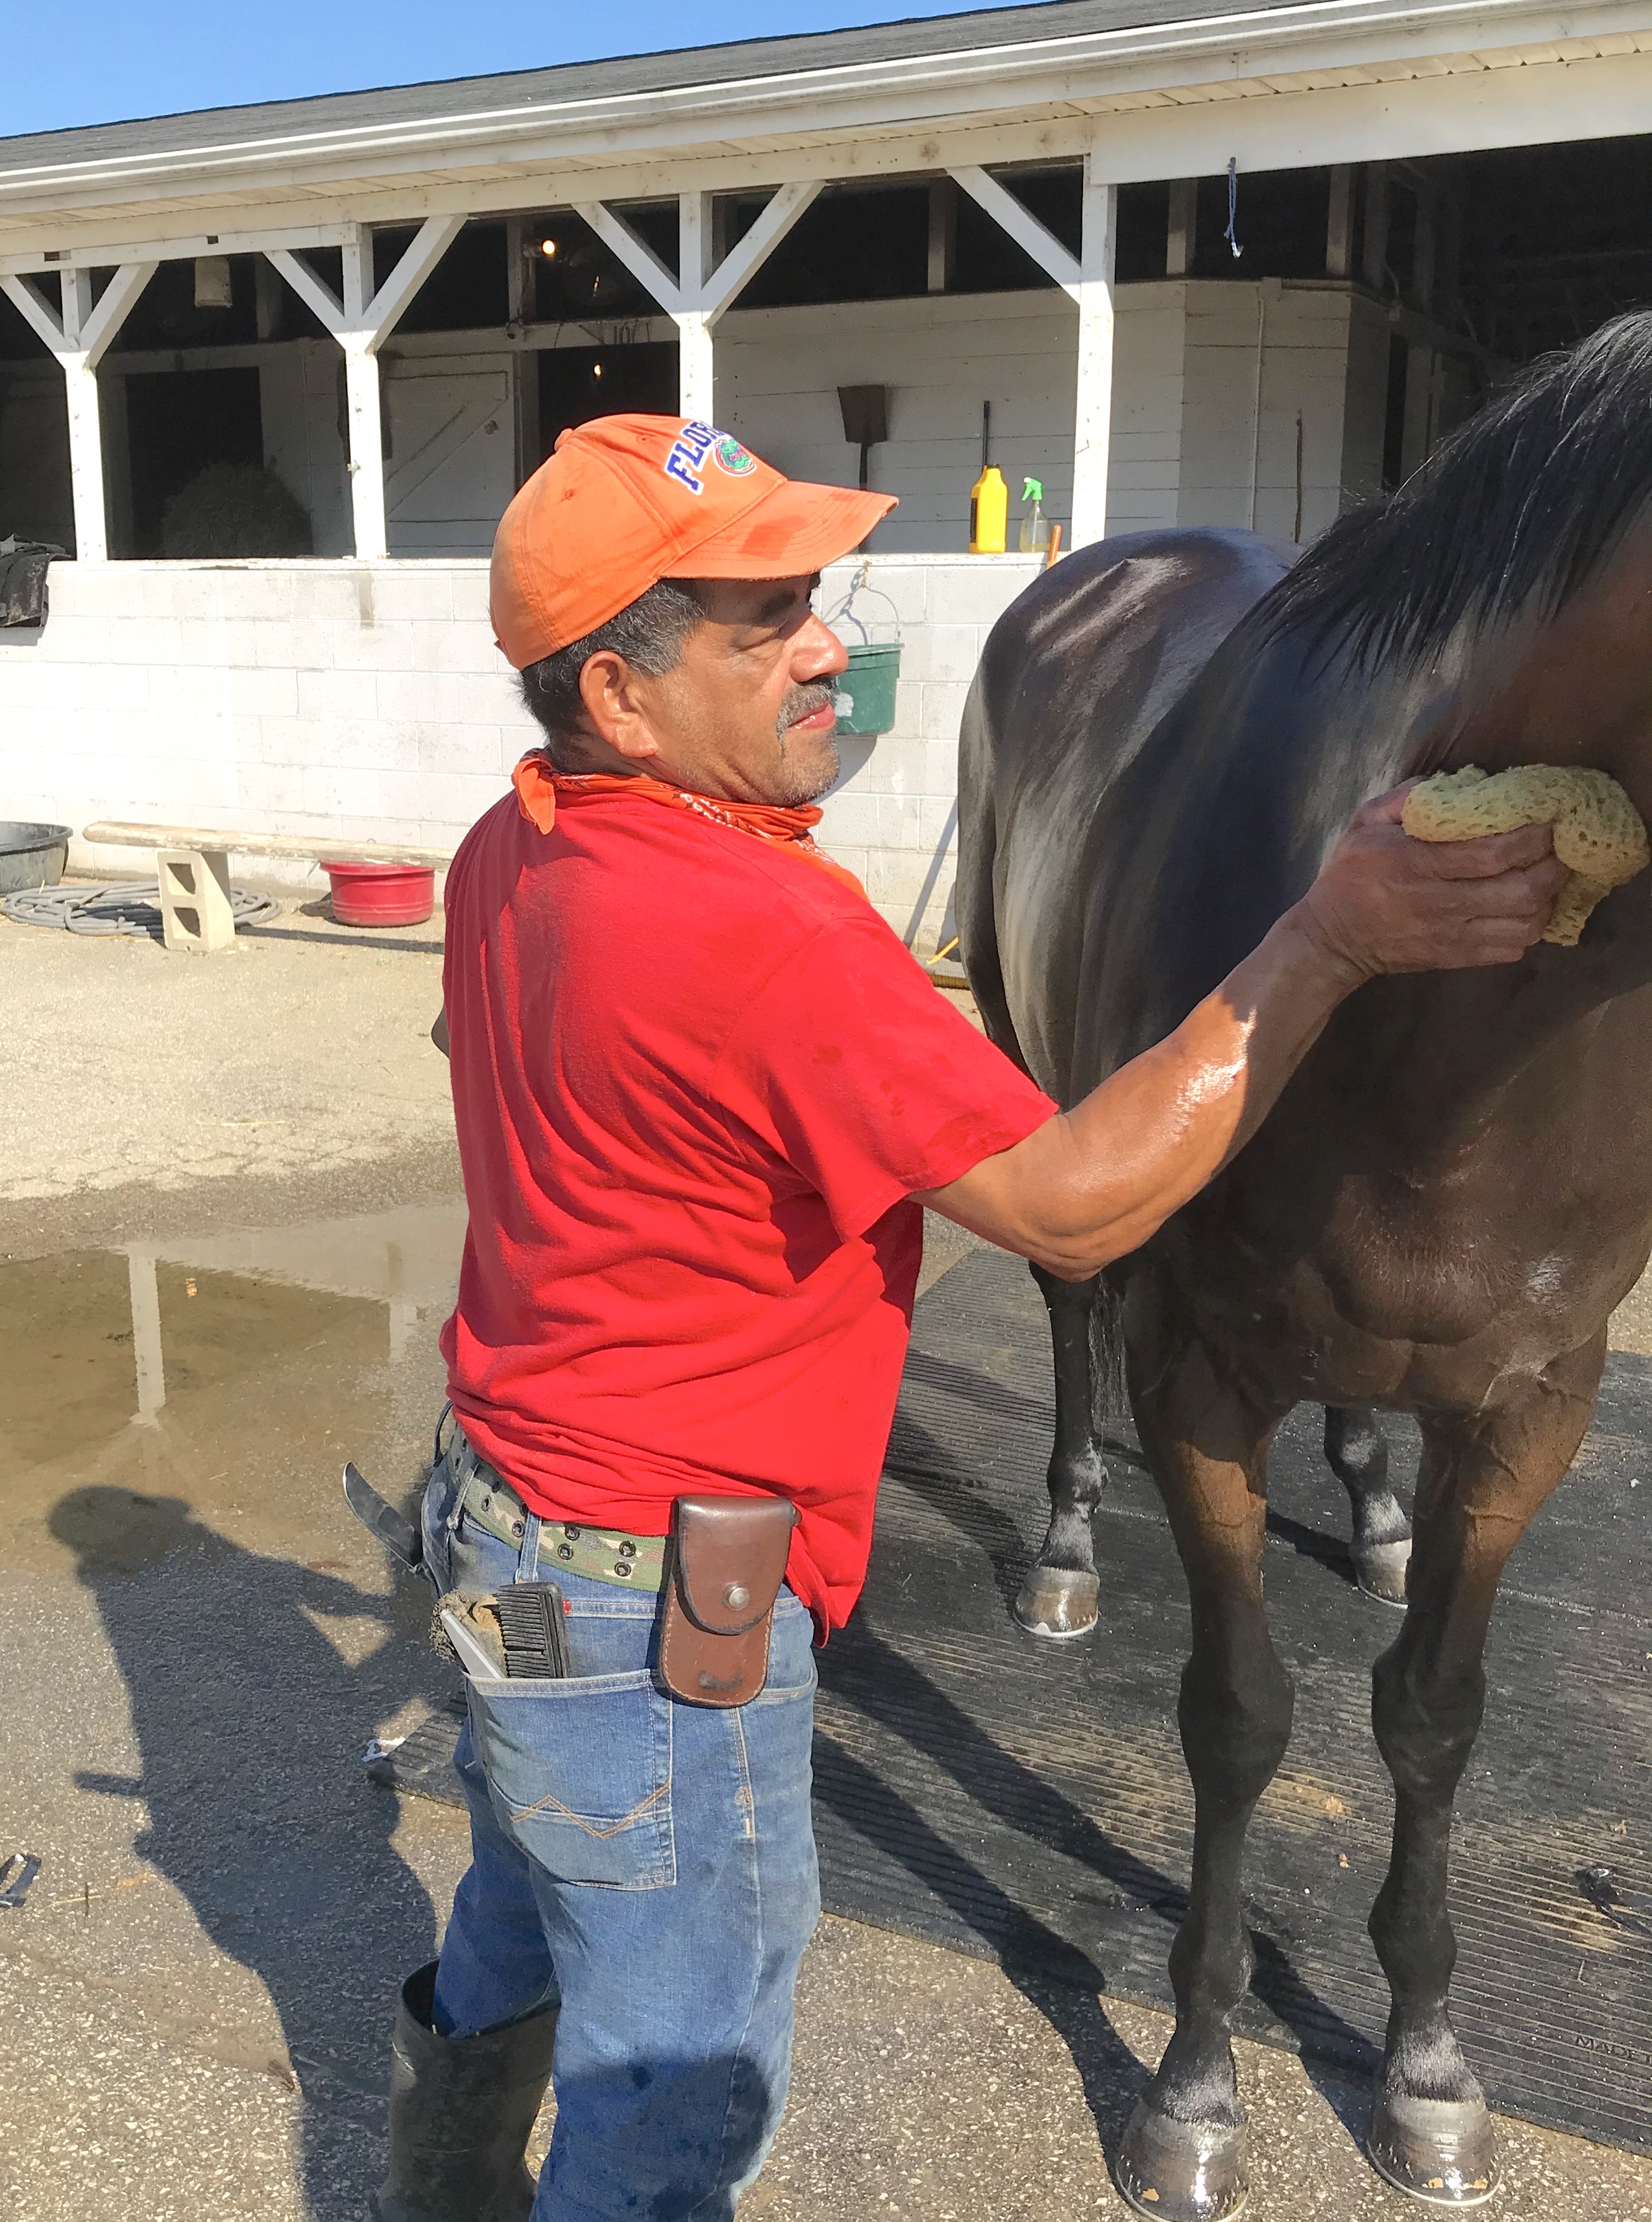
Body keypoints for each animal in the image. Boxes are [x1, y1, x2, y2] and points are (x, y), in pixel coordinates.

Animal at [954, 317, 1652, 2222]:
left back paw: (1372, 1502)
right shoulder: (1201, 1377)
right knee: (1065, 1311)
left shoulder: (1534, 1403)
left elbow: (1432, 1713)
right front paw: (1191, 2089)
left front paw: (1425, 2066)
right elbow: (1242, 1718)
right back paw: (1064, 1546)